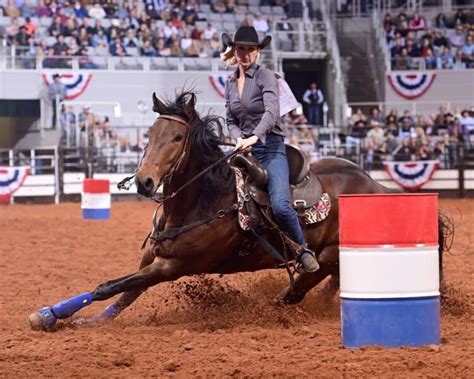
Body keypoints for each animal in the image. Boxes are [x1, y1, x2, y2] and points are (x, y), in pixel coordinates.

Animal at [27, 91, 446, 330]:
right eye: (149, 134)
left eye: (177, 137)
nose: (145, 182)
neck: (200, 202)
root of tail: (375, 186)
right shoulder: (151, 259)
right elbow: (123, 294)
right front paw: (82, 320)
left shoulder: (172, 267)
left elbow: (109, 287)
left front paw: (49, 317)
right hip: (338, 258)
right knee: (324, 283)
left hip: (330, 252)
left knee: (310, 277)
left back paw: (278, 305)